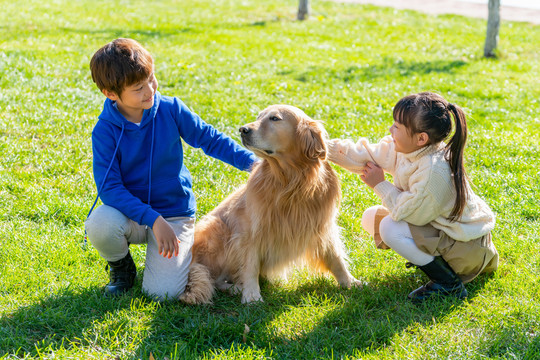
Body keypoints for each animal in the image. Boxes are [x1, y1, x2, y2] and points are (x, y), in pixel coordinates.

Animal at [179, 104, 360, 304]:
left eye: (275, 118)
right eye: (258, 117)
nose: (243, 130)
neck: (291, 181)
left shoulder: (322, 225)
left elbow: (335, 257)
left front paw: (350, 282)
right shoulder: (249, 232)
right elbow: (250, 265)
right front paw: (251, 295)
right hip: (216, 228)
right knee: (213, 278)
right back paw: (235, 288)